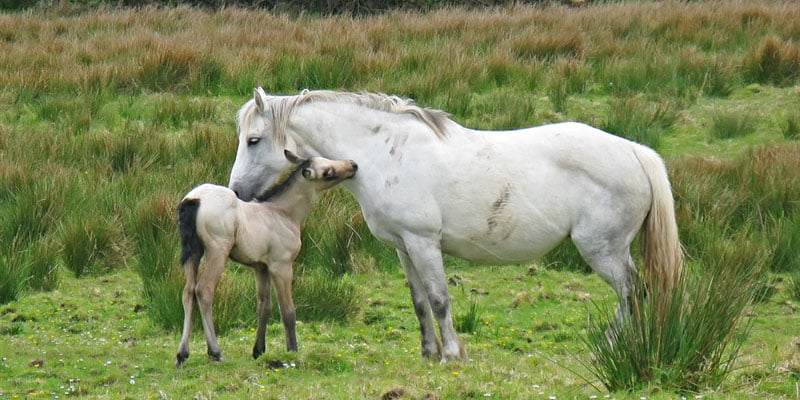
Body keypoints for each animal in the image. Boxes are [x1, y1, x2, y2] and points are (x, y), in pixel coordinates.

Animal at [180, 149, 360, 366]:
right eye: (328, 172)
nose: (353, 165)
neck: (283, 213)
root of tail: (194, 199)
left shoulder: (260, 267)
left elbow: (263, 306)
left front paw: (258, 350)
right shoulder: (281, 265)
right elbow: (287, 310)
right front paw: (292, 350)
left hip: (193, 252)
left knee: (188, 292)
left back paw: (182, 354)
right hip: (217, 250)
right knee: (203, 290)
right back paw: (214, 351)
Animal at [225, 88, 680, 362]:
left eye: (253, 140)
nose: (237, 192)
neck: (385, 152)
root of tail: (633, 151)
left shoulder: (424, 243)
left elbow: (440, 298)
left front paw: (451, 353)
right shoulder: (403, 247)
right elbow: (419, 301)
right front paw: (429, 351)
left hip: (603, 250)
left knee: (631, 291)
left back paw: (609, 346)